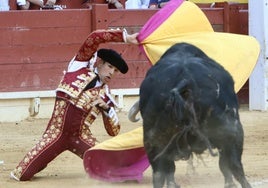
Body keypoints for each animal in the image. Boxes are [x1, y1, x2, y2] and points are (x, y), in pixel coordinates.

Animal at [129, 43, 252, 188]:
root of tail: (185, 79)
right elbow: (225, 166)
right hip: (232, 131)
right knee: (235, 165)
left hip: (152, 138)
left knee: (159, 173)